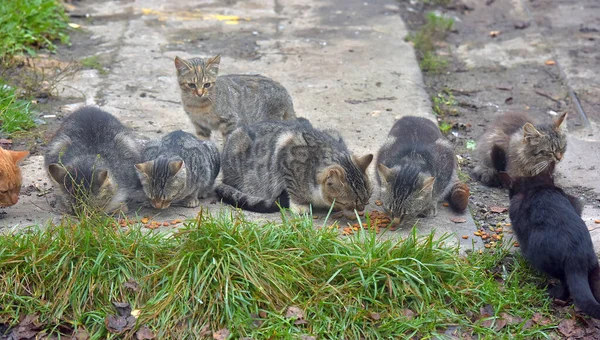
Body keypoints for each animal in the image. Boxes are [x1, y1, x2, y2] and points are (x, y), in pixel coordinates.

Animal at [492, 145, 600, 318]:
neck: (536, 187)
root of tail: (577, 258)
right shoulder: (574, 202)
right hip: (593, 264)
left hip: (543, 259)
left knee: (565, 286)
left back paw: (550, 292)